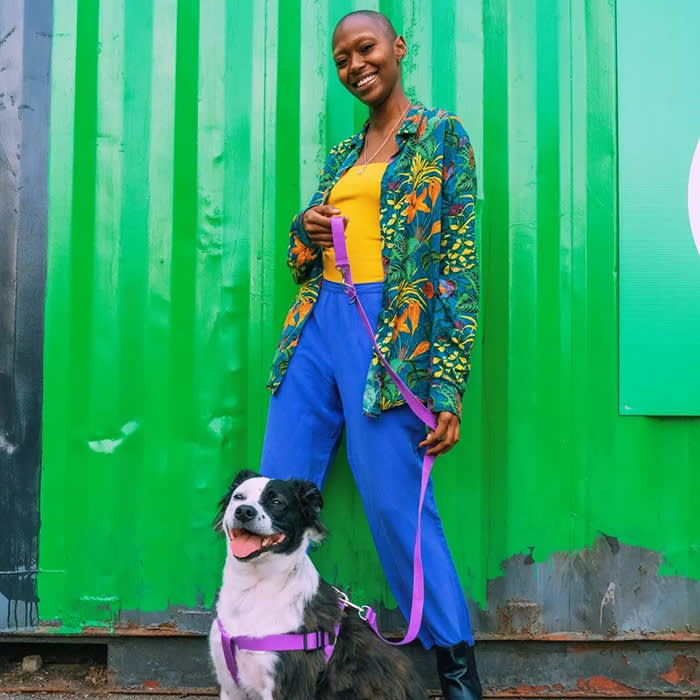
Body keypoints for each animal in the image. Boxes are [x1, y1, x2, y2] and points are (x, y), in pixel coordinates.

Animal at [209, 470, 426, 700]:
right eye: (238, 497)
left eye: (277, 502)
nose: (244, 511)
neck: (253, 587)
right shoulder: (230, 689)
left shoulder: (289, 687)